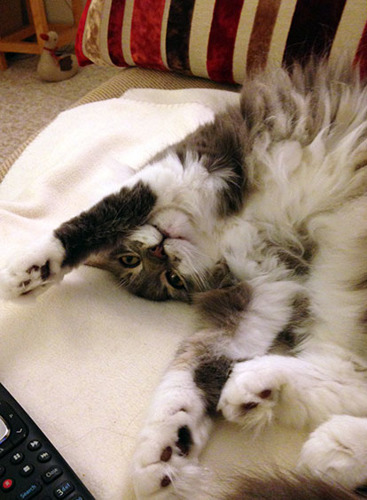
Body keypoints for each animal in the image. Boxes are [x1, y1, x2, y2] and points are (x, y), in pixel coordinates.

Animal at [2, 59, 367, 500]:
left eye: (138, 261)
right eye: (168, 278)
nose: (161, 249)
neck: (218, 232)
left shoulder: (187, 166)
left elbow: (99, 216)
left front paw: (30, 269)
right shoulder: (261, 292)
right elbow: (191, 371)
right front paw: (167, 448)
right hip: (337, 287)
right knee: (346, 376)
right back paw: (277, 405)